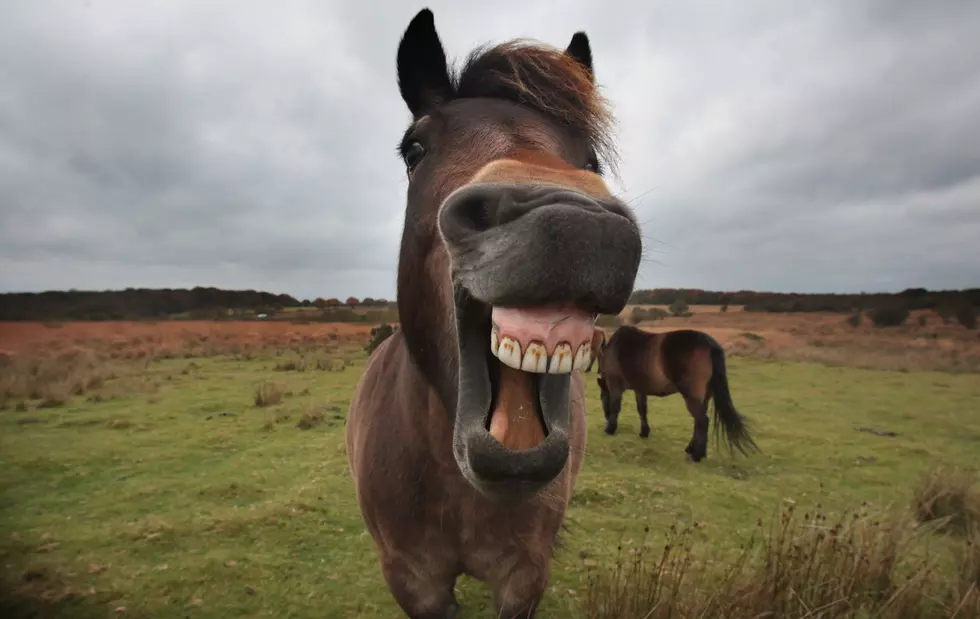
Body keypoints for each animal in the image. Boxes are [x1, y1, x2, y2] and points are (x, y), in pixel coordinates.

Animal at [595, 325, 759, 463]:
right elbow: (642, 409)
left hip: (692, 397)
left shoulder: (615, 385)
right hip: (704, 396)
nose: (605, 418)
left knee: (702, 421)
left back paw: (696, 455)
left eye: (601, 397)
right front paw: (644, 432)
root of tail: (710, 344)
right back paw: (692, 449)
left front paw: (610, 429)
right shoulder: (640, 388)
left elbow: (616, 407)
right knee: (698, 421)